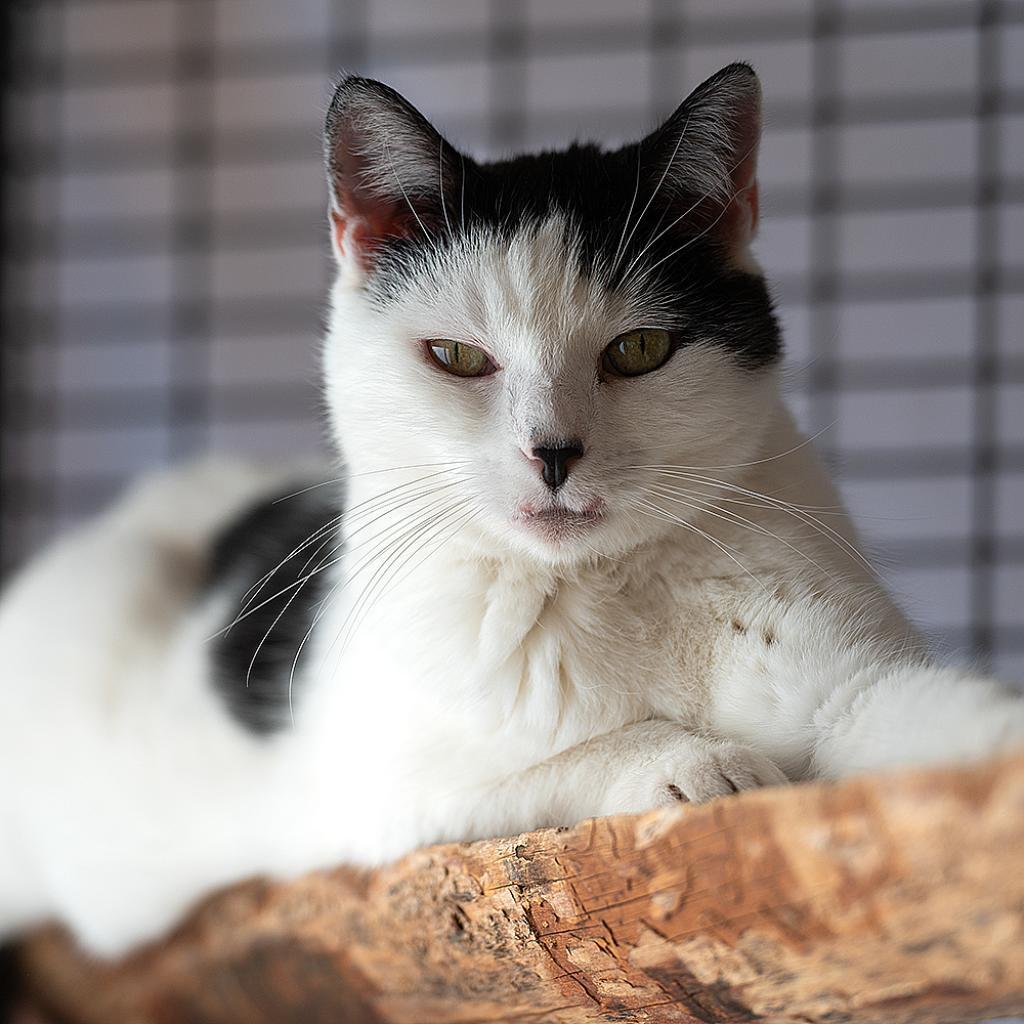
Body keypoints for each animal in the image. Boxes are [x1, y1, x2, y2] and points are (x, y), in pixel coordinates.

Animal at [2, 66, 1024, 958]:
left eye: (639, 350)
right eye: (457, 357)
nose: (554, 452)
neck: (609, 586)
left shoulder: (852, 681)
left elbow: (919, 714)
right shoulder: (379, 799)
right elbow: (551, 766)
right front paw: (696, 760)